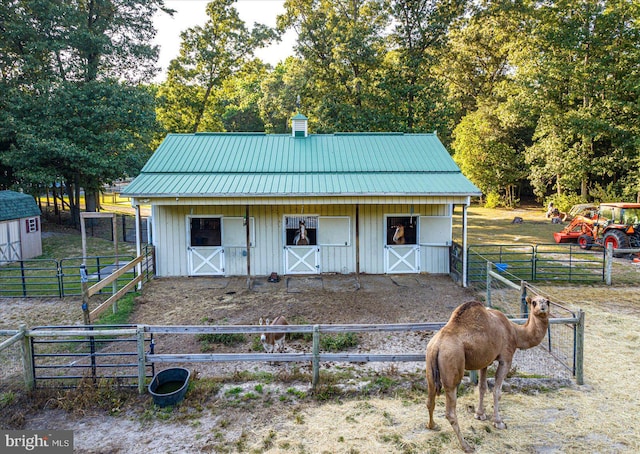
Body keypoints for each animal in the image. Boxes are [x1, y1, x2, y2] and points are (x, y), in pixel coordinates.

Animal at [424, 294, 552, 450]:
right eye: (533, 302)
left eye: (547, 301)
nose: (542, 308)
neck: (515, 333)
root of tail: (436, 346)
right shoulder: (505, 358)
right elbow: (497, 390)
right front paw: (498, 422)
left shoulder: (484, 360)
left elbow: (482, 387)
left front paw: (480, 415)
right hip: (452, 369)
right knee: (450, 412)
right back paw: (466, 446)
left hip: (430, 367)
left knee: (430, 400)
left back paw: (433, 426)